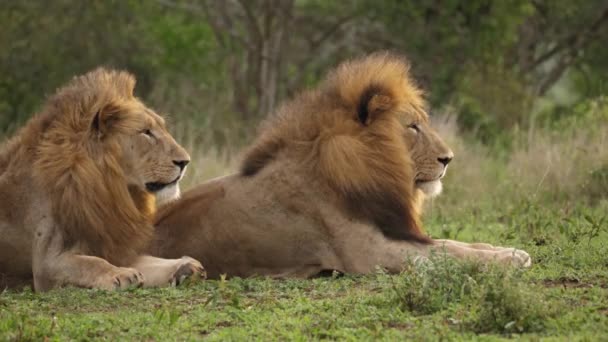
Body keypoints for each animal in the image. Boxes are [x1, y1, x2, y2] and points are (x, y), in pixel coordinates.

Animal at [0, 68, 205, 290]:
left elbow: (148, 261)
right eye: (146, 132)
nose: (185, 162)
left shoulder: (111, 244)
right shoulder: (45, 265)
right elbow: (91, 263)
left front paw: (183, 266)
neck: (109, 189)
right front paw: (120, 274)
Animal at [153, 52, 532, 278]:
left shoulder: (394, 231)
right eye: (412, 127)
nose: (448, 158)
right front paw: (511, 258)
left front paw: (505, 250)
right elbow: (448, 254)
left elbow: (455, 244)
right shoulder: (369, 253)